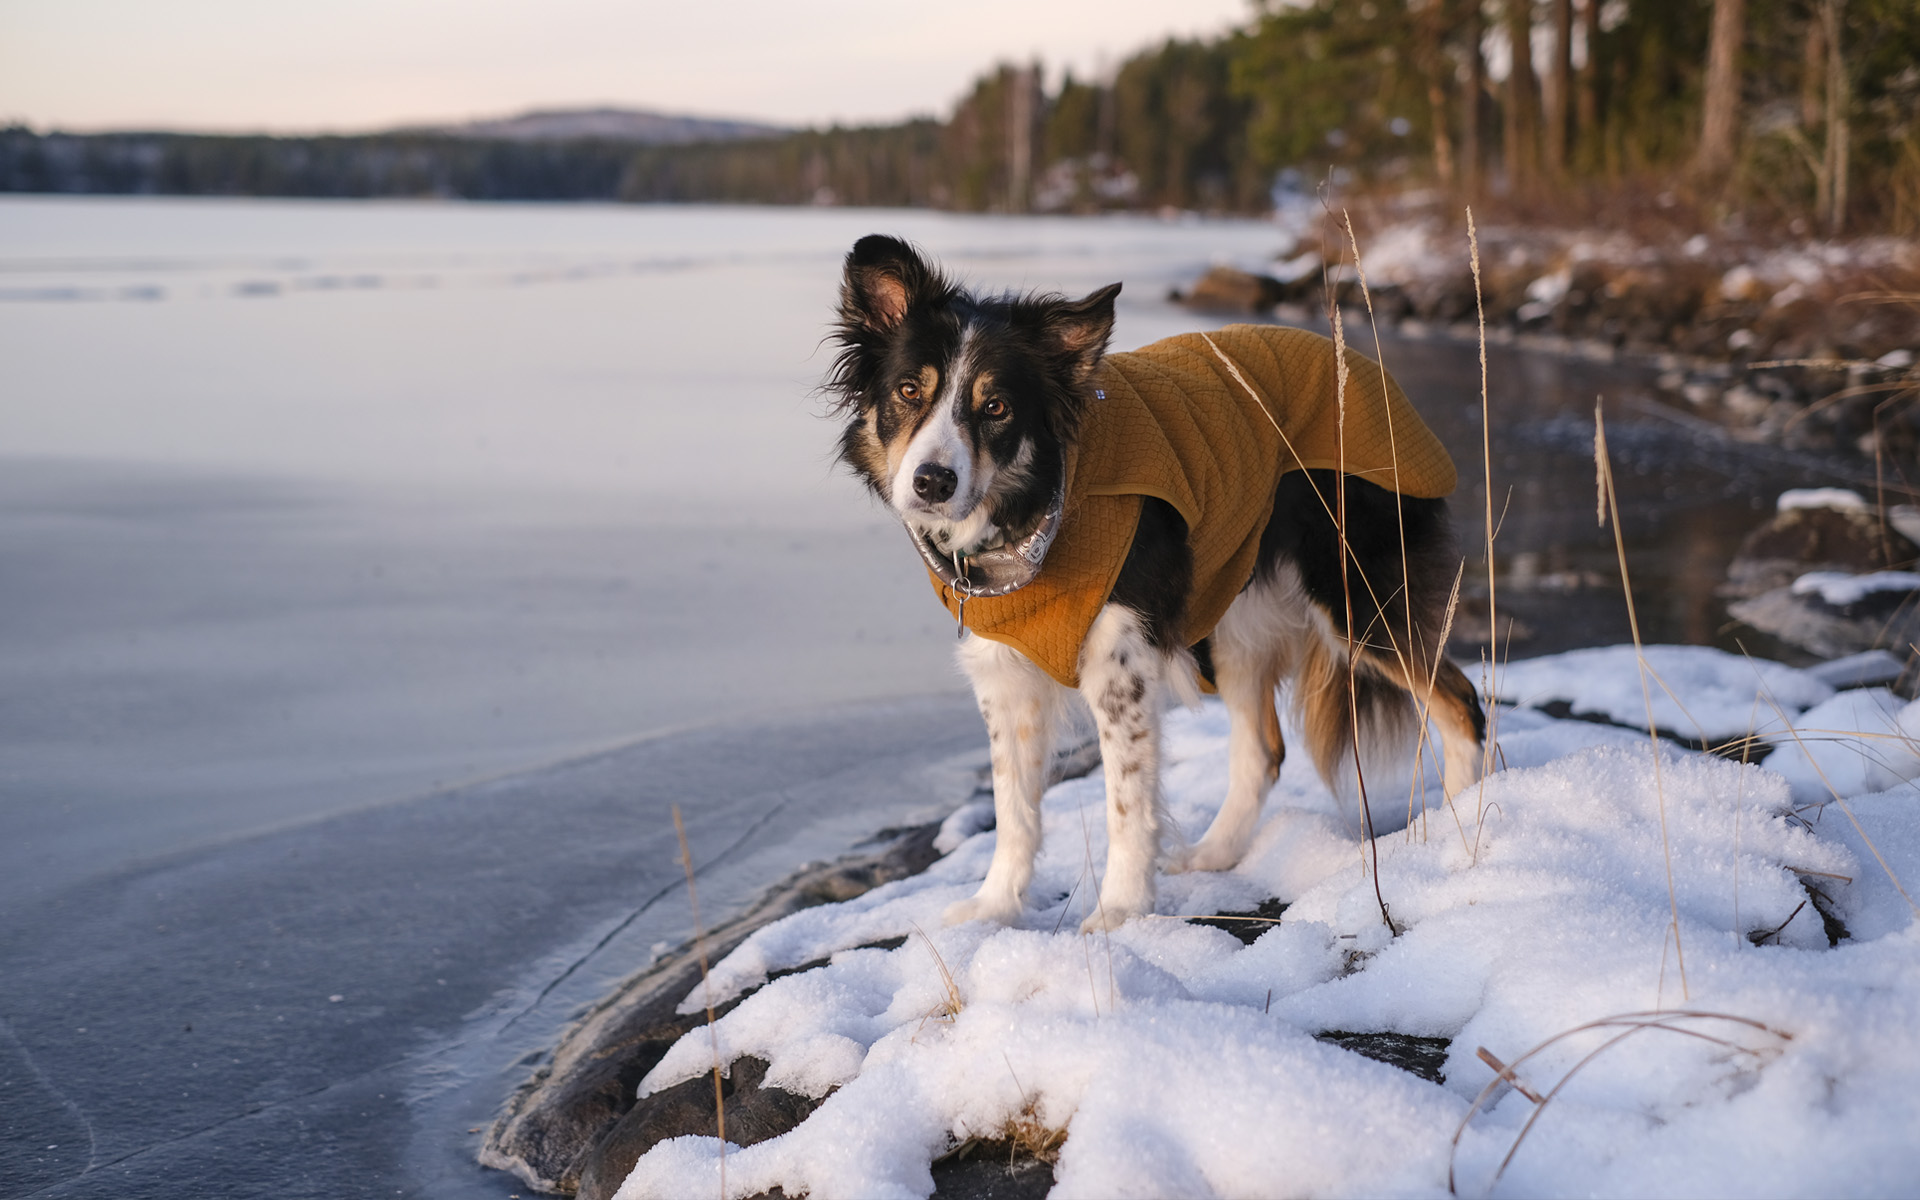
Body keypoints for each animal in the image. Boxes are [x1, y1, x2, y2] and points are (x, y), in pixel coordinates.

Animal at [825, 231, 1482, 925]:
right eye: (907, 392)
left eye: (996, 407)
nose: (932, 482)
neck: (1043, 506)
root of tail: (1372, 370)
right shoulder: (1004, 672)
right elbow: (1013, 807)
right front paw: (995, 907)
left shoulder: (1119, 667)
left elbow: (1126, 802)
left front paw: (1118, 914)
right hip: (1234, 614)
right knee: (1263, 750)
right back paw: (1215, 854)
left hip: (1360, 596)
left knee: (1459, 702)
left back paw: (1460, 830)